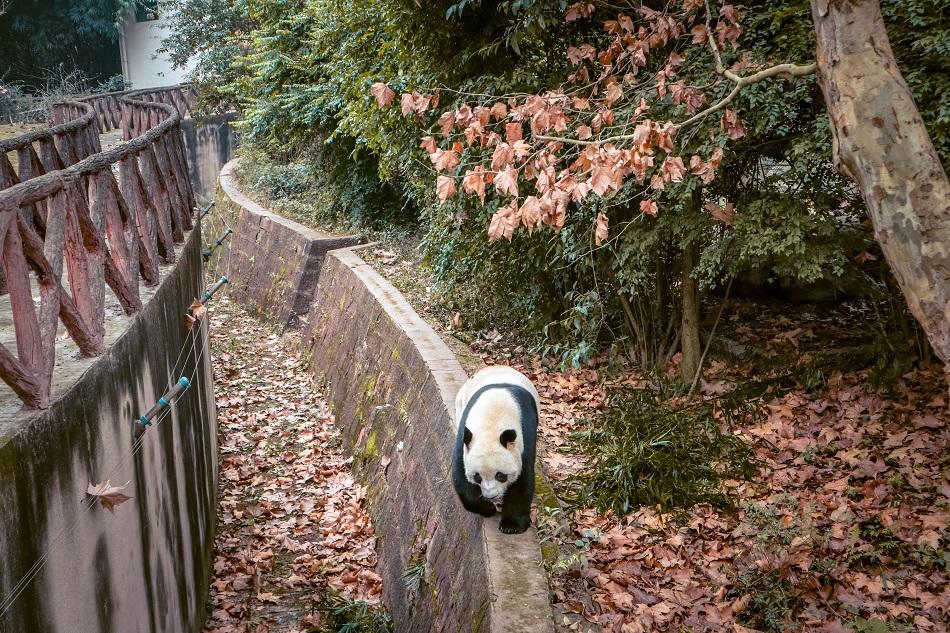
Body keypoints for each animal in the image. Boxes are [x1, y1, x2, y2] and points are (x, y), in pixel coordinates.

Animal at [452, 365, 539, 534]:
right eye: (477, 477)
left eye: (500, 475)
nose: (491, 496)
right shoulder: (466, 439)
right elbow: (460, 477)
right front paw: (487, 508)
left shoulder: (524, 437)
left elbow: (522, 480)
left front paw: (512, 526)